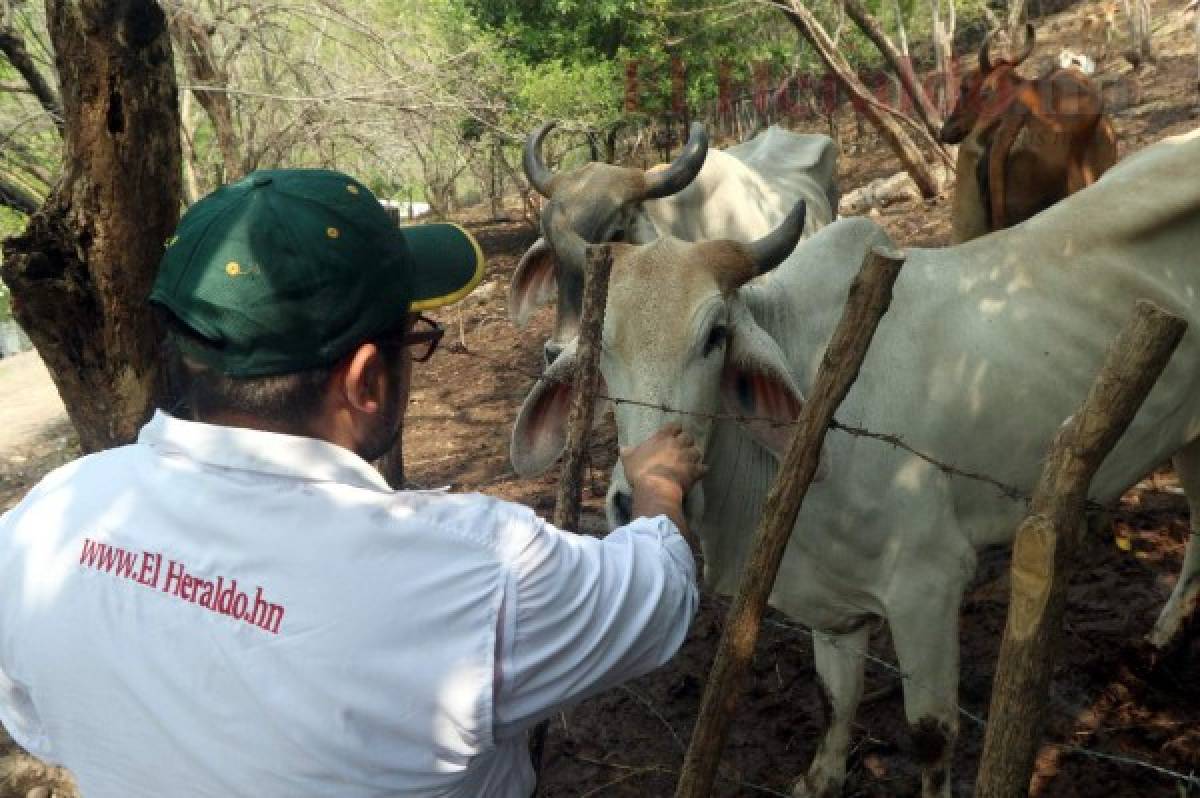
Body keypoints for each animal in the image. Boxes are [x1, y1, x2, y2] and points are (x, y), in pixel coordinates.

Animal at [511, 127, 1200, 792]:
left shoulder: (929, 584)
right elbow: (832, 703)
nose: (634, 500)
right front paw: (819, 776)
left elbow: (930, 736)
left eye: (715, 336)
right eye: (602, 345)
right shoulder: (831, 605)